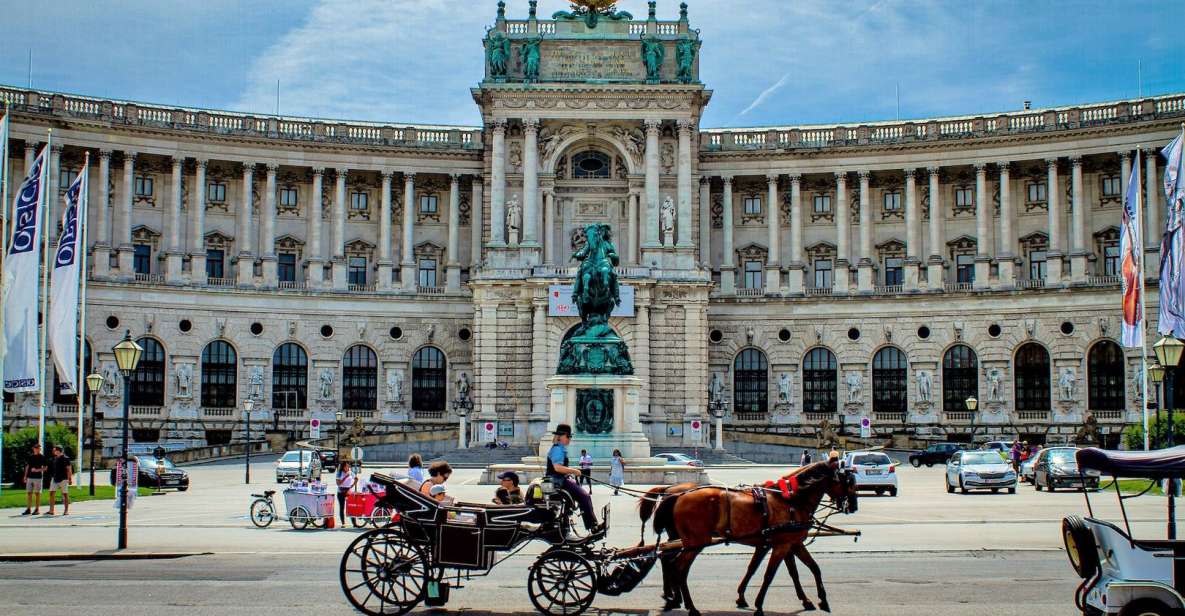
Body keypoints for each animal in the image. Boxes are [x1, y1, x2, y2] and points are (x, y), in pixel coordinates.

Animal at [654, 462, 857, 616]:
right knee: (678, 568)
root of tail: (678, 494)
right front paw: (759, 605)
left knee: (671, 563)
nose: (853, 507)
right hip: (695, 543)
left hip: (688, 542)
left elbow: (807, 569)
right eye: (849, 482)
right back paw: (689, 606)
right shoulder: (782, 545)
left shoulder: (788, 544)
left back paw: (674, 599)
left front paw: (817, 600)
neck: (790, 500)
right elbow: (769, 574)